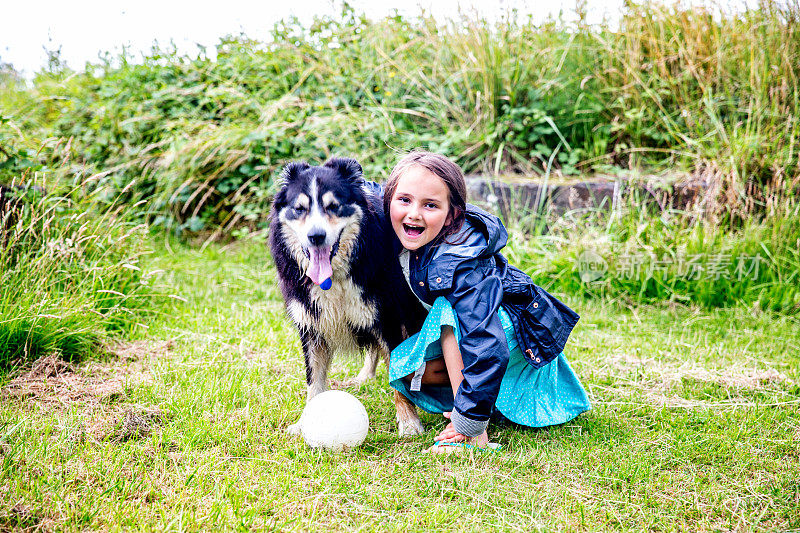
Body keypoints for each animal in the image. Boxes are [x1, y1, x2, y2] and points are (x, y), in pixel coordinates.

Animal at [268, 158, 428, 436]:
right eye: (299, 209)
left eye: (334, 206)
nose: (316, 236)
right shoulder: (312, 324)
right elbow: (314, 380)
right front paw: (305, 423)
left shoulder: (387, 316)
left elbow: (398, 375)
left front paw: (409, 423)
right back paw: (364, 377)